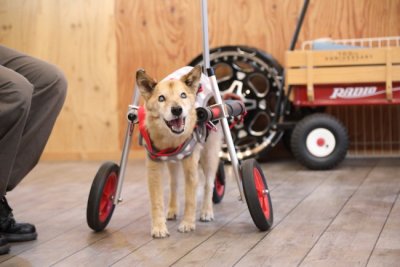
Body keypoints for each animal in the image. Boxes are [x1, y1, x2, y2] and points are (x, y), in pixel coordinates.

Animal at [136, 65, 223, 239]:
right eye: (161, 98)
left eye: (183, 95)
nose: (177, 109)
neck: (171, 139)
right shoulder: (154, 170)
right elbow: (156, 202)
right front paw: (159, 227)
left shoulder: (190, 169)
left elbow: (190, 199)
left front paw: (187, 224)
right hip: (173, 164)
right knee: (174, 185)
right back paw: (172, 210)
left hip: (209, 157)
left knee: (209, 184)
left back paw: (206, 211)